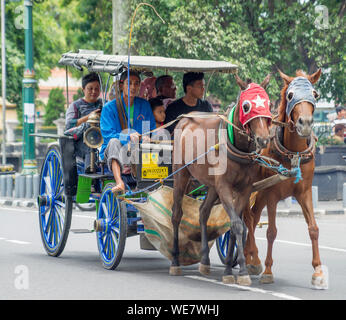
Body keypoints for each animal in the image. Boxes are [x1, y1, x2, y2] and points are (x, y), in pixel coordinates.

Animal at [170, 74, 274, 284]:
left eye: (268, 103)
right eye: (246, 107)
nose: (264, 140)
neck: (237, 146)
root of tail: (184, 120)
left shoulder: (244, 188)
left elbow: (235, 227)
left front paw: (229, 269)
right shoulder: (225, 186)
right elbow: (236, 225)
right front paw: (242, 271)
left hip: (211, 184)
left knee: (203, 212)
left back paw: (204, 261)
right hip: (180, 174)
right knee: (176, 214)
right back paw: (175, 261)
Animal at [243, 69, 328, 288]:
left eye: (315, 94)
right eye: (290, 96)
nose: (305, 124)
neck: (293, 153)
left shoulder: (304, 192)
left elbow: (314, 228)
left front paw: (318, 271)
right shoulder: (272, 194)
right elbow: (271, 232)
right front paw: (267, 270)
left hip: (260, 193)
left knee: (253, 218)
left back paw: (249, 257)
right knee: (247, 218)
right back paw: (252, 258)